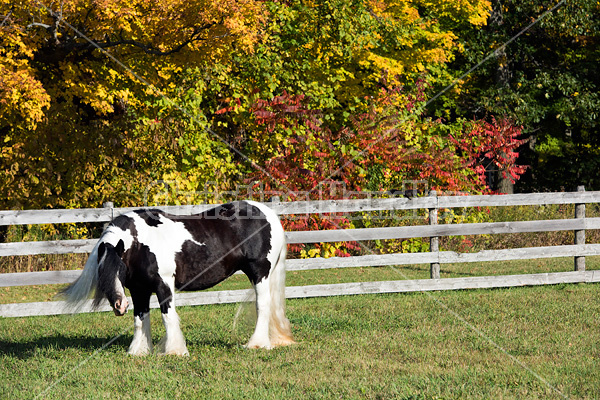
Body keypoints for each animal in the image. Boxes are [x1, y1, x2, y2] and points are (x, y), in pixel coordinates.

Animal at [61, 200, 296, 356]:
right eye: (101, 273)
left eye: (119, 269)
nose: (119, 306)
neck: (140, 244)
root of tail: (269, 214)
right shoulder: (139, 290)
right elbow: (140, 318)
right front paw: (139, 351)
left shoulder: (164, 285)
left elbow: (168, 316)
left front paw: (175, 351)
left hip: (260, 273)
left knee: (262, 305)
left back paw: (257, 344)